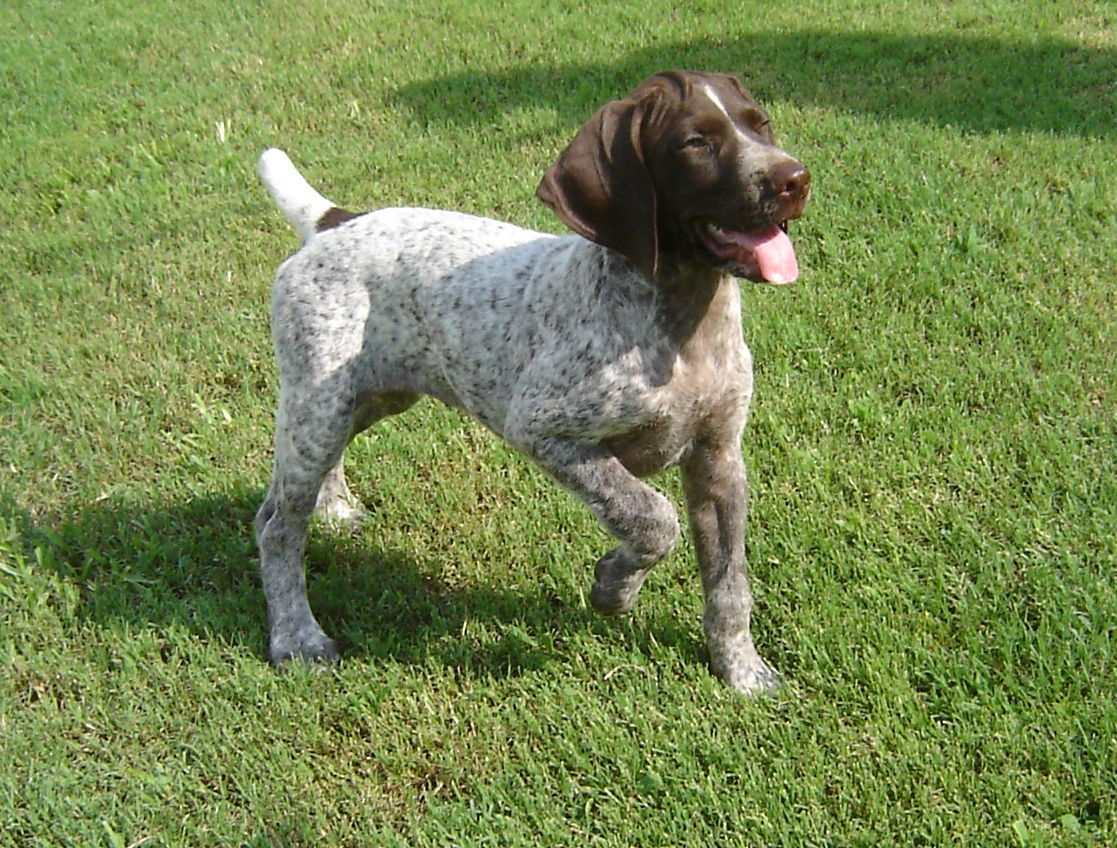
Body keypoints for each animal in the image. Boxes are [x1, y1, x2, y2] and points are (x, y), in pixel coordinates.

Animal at [255, 71, 813, 697]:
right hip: (319, 402)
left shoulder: (719, 460)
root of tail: (336, 221)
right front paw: (614, 586)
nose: (795, 179)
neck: (681, 320)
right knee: (276, 526)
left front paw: (739, 669)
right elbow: (652, 517)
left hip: (364, 396)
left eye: (760, 124)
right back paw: (296, 638)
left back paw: (333, 509)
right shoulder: (546, 430)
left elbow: (728, 582)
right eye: (696, 142)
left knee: (301, 483)